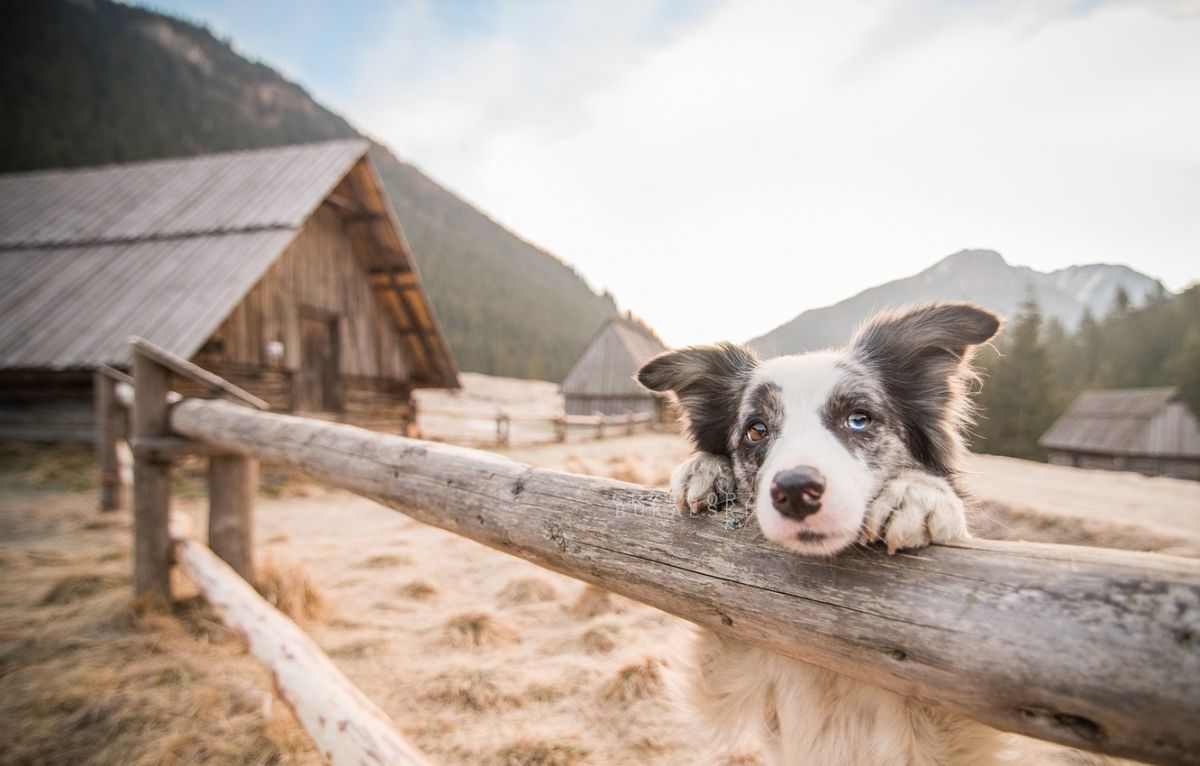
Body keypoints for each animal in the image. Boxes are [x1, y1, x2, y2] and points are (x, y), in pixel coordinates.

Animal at [638, 304, 1012, 766]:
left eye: (859, 419)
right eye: (757, 429)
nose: (796, 489)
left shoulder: (948, 717)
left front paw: (918, 493)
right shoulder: (727, 674)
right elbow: (714, 619)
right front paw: (705, 469)